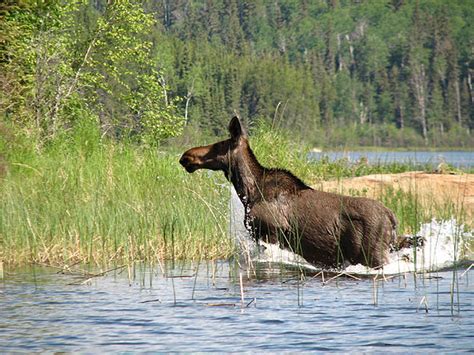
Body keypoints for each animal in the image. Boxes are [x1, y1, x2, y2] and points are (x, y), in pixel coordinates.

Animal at [179, 117, 404, 270]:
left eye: (218, 145)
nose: (186, 156)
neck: (249, 193)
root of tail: (392, 218)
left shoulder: (272, 233)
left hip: (373, 254)